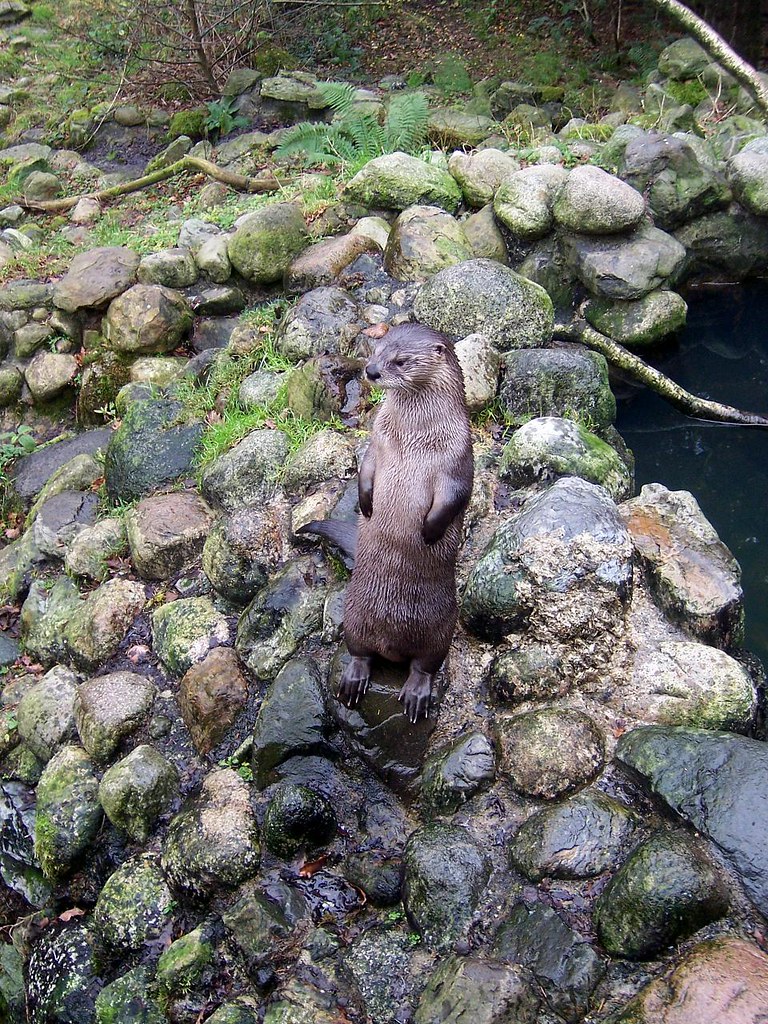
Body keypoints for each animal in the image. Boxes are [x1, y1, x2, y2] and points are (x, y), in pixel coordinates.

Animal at [300, 323, 474, 722]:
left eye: (401, 360)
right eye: (376, 351)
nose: (372, 371)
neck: (414, 437)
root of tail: (392, 646)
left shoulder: (458, 456)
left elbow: (455, 496)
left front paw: (429, 530)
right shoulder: (376, 441)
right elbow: (364, 470)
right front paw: (366, 504)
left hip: (441, 627)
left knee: (426, 663)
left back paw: (416, 694)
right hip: (355, 615)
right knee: (360, 650)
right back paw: (354, 680)